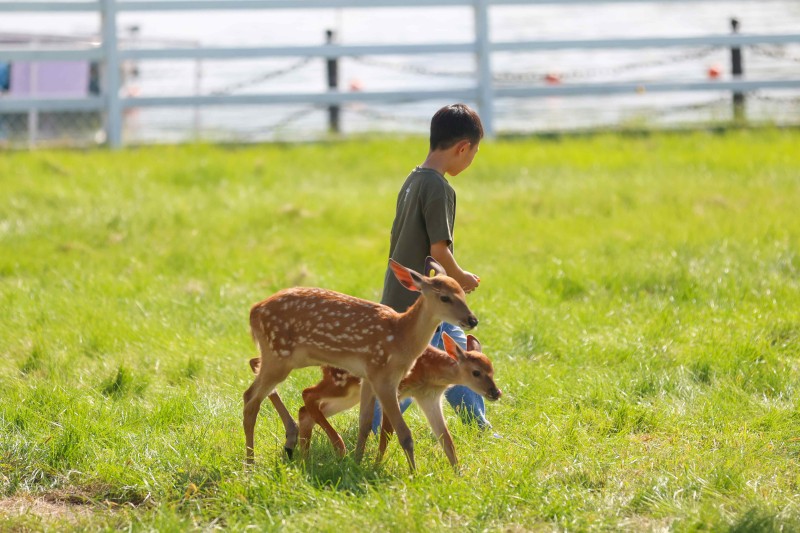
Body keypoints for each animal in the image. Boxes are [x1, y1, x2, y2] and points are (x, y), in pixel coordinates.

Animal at [243, 257, 478, 471]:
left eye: (463, 293)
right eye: (444, 297)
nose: (472, 320)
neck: (400, 335)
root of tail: (253, 311)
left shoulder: (367, 376)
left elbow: (365, 423)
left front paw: (357, 464)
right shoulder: (383, 376)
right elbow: (401, 432)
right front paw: (412, 474)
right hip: (279, 355)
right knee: (251, 397)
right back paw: (251, 464)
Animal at [279, 332, 501, 467]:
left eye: (492, 369)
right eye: (476, 372)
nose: (496, 392)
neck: (429, 372)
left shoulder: (429, 397)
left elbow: (446, 438)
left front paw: (458, 473)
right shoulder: (395, 391)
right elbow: (387, 432)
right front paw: (377, 465)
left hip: (349, 395)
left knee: (306, 410)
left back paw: (304, 458)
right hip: (341, 384)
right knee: (307, 393)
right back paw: (335, 448)